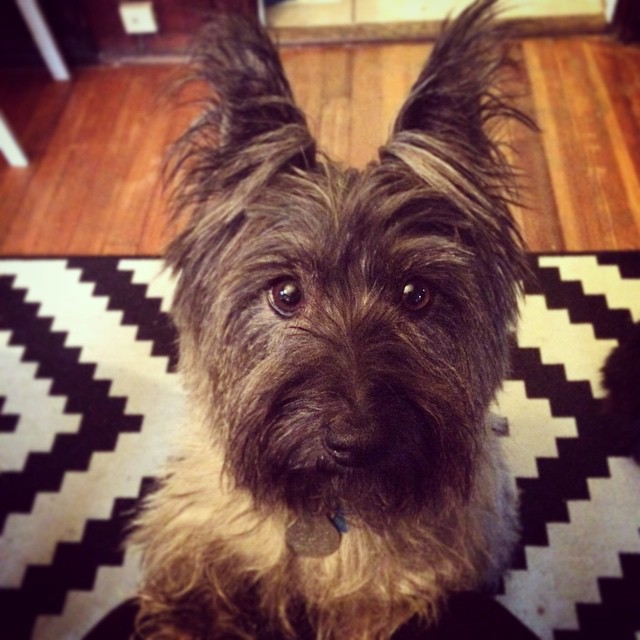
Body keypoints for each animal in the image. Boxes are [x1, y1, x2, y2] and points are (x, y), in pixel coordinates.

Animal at [130, 2, 536, 636]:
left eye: (416, 294)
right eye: (286, 293)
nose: (355, 441)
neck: (332, 509)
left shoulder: (389, 603)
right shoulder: (192, 555)